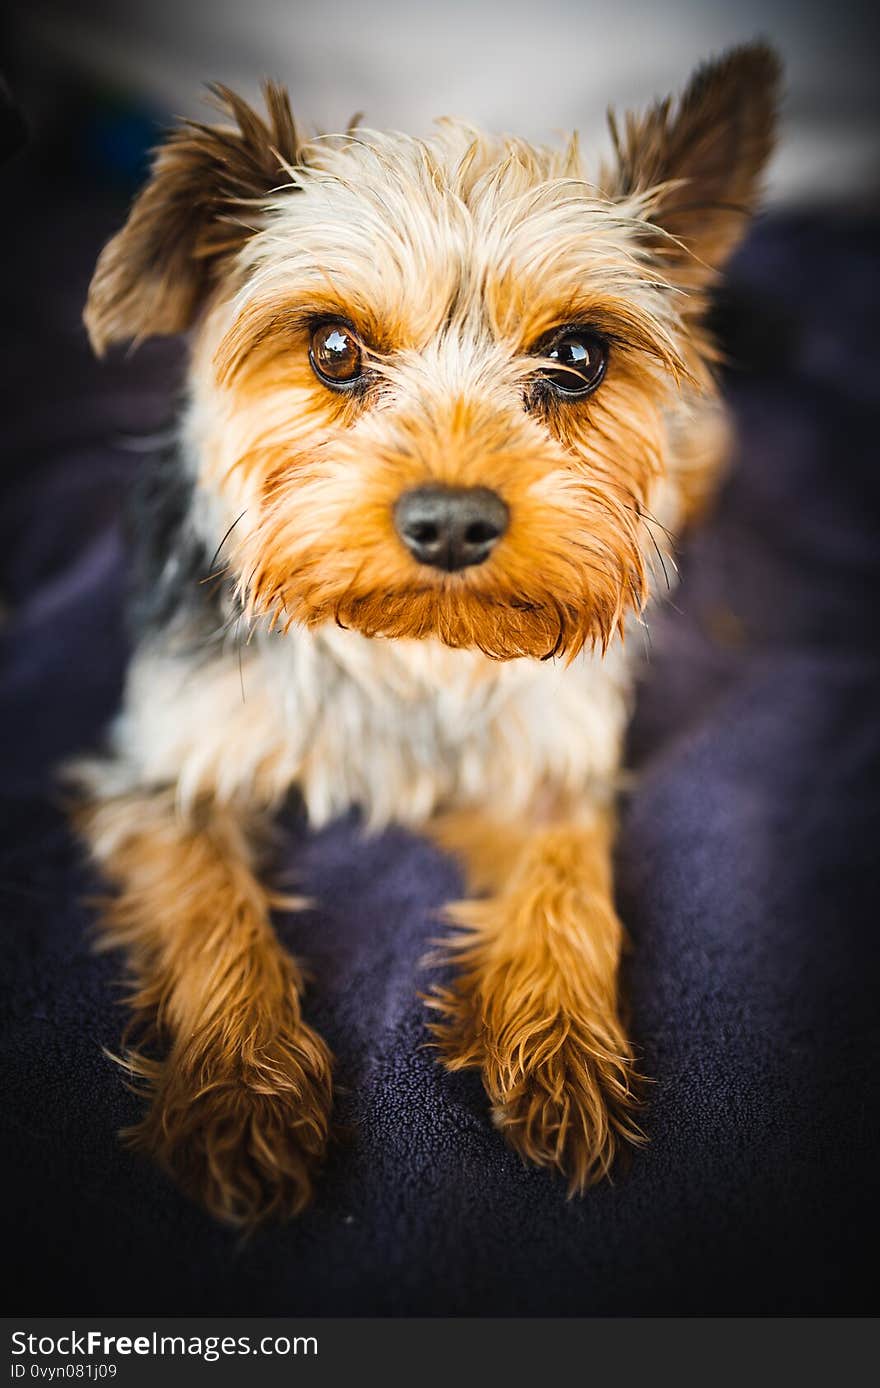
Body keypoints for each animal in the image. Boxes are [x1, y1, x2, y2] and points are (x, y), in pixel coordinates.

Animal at [73, 46, 771, 1226]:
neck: (408, 646)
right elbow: (210, 911)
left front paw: (562, 1040)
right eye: (333, 346)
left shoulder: (554, 756)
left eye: (576, 354)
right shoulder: (164, 771)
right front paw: (241, 1090)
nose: (450, 522)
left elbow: (569, 882)